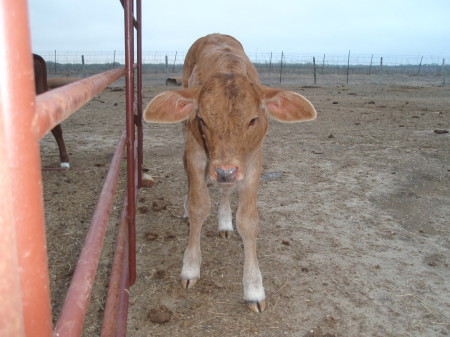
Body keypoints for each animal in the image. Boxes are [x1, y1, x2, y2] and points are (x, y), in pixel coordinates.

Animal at [144, 32, 316, 312]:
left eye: (253, 119)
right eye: (202, 119)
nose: (225, 171)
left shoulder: (252, 161)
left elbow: (248, 221)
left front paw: (254, 288)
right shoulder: (197, 152)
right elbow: (199, 207)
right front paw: (190, 267)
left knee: (225, 190)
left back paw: (224, 221)